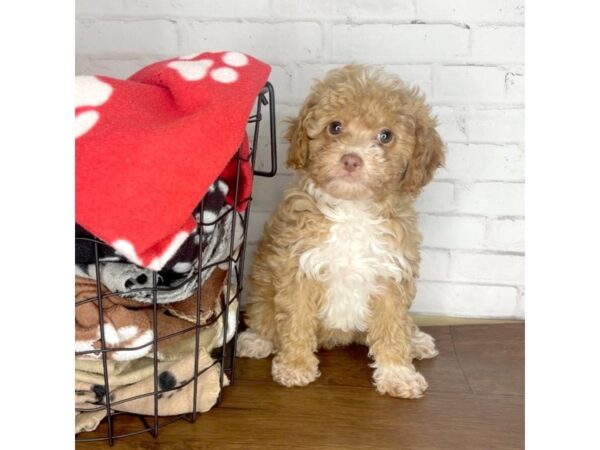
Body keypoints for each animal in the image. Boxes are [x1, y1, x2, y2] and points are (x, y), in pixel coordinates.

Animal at [237, 66, 442, 398]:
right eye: (335, 127)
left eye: (386, 136)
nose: (351, 159)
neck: (352, 210)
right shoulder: (298, 268)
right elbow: (296, 320)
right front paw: (295, 366)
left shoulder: (391, 274)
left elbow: (392, 328)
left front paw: (397, 373)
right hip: (263, 282)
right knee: (262, 312)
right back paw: (257, 339)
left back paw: (416, 341)